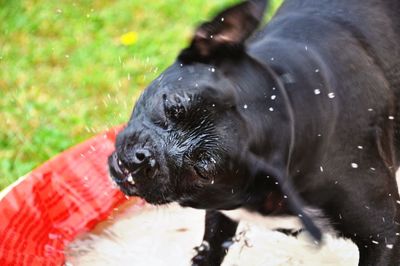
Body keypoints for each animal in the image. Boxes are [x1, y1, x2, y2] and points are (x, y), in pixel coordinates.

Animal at [108, 1, 400, 264]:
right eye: (172, 106)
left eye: (203, 169)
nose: (144, 158)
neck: (288, 100)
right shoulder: (221, 212)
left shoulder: (385, 234)